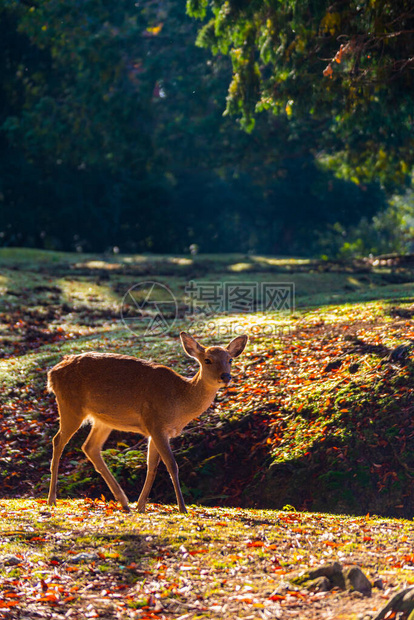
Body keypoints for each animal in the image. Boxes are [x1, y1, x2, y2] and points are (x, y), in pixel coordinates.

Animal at [47, 334, 247, 512]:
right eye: (207, 360)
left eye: (230, 360)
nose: (225, 376)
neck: (180, 402)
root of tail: (52, 373)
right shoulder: (156, 423)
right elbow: (172, 465)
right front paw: (182, 508)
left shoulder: (155, 431)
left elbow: (152, 466)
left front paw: (141, 506)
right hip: (70, 406)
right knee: (58, 441)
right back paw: (52, 499)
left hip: (103, 420)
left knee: (90, 447)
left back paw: (124, 503)